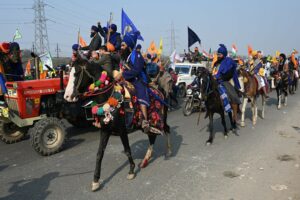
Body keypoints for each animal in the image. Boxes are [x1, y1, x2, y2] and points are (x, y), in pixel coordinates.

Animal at [63, 54, 171, 191]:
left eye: (76, 73)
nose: (67, 96)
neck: (108, 98)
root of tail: (160, 90)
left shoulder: (122, 130)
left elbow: (127, 149)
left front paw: (131, 171)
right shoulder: (105, 130)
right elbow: (99, 154)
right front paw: (96, 180)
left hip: (161, 118)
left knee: (166, 129)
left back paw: (168, 151)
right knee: (152, 137)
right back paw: (145, 160)